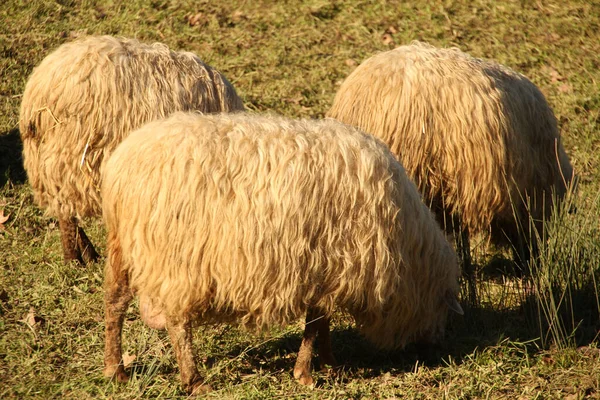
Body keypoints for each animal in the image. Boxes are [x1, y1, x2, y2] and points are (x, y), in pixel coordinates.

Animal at [19, 35, 244, 266]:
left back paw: (88, 254)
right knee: (67, 214)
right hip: (68, 156)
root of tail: (38, 92)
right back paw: (74, 258)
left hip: (48, 163)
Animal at [102, 111, 464, 392]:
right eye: (442, 311)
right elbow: (315, 324)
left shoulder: (325, 270)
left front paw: (330, 363)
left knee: (115, 304)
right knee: (177, 323)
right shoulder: (335, 266)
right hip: (176, 259)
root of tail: (122, 167)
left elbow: (321, 324)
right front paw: (307, 373)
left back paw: (115, 369)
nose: (437, 351)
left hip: (124, 248)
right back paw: (194, 380)